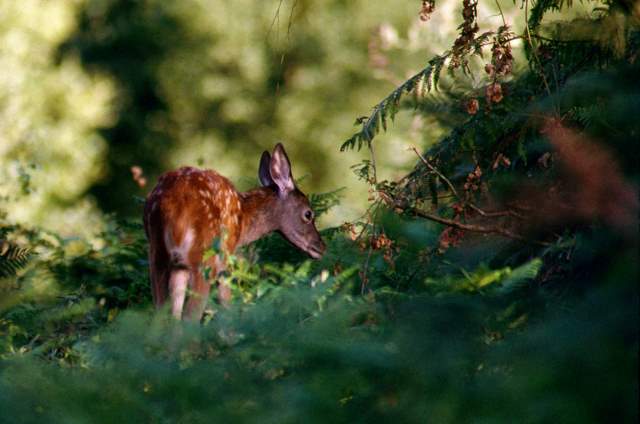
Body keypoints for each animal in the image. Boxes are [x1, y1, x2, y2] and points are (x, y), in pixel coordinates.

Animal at [143, 143, 326, 320]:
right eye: (308, 214)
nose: (322, 246)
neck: (243, 219)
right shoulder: (225, 258)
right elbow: (227, 308)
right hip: (203, 257)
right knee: (190, 317)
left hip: (158, 256)